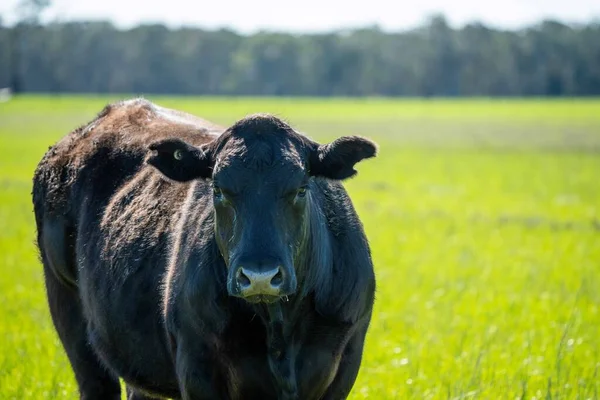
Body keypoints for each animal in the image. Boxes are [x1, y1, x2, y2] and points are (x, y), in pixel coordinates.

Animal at [31, 97, 376, 400]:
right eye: (218, 189)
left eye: (302, 188)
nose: (260, 277)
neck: (278, 328)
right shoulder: (197, 363)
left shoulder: (346, 360)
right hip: (67, 309)